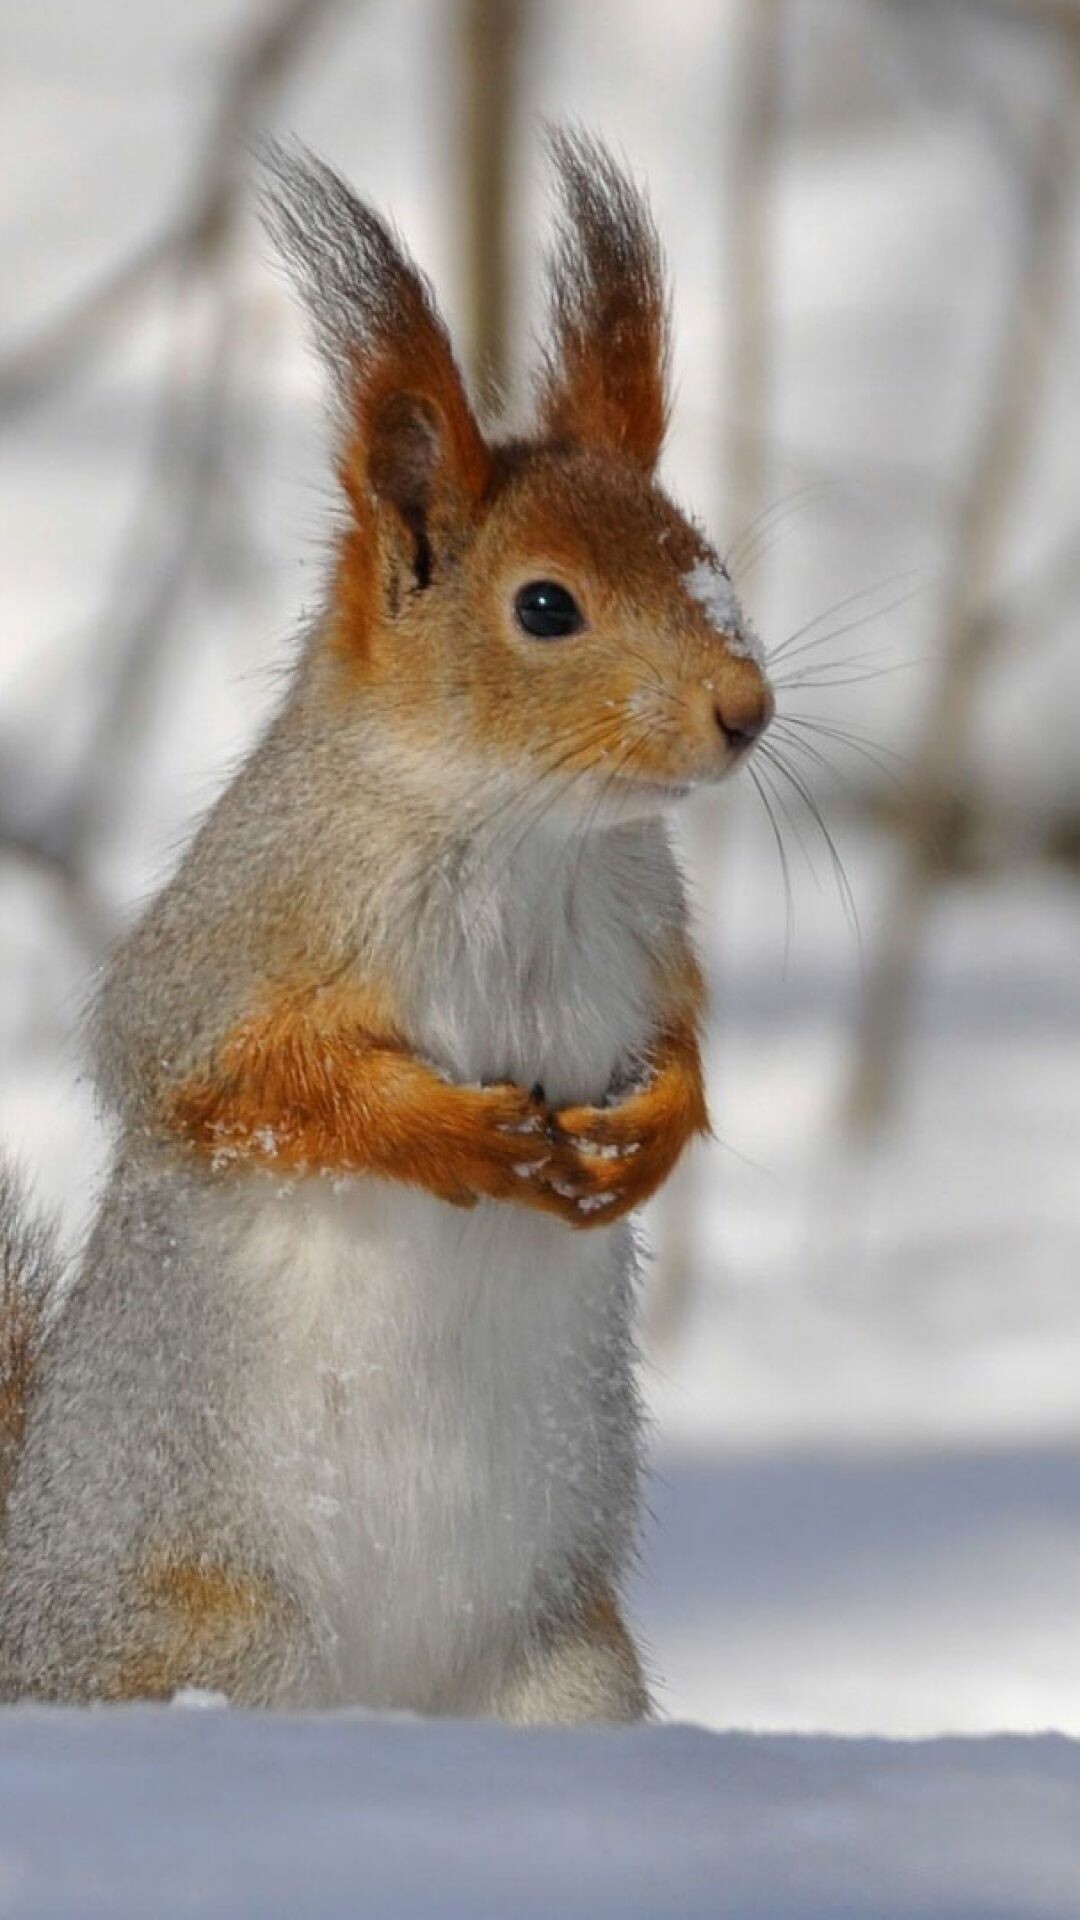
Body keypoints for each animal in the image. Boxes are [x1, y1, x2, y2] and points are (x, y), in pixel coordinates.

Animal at [2, 135, 772, 1728]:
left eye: (706, 557)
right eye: (545, 606)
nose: (748, 709)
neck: (525, 831)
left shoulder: (649, 930)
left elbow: (680, 1044)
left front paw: (649, 1135)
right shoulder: (234, 939)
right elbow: (225, 1083)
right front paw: (455, 1136)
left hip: (564, 1670)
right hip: (234, 1646)